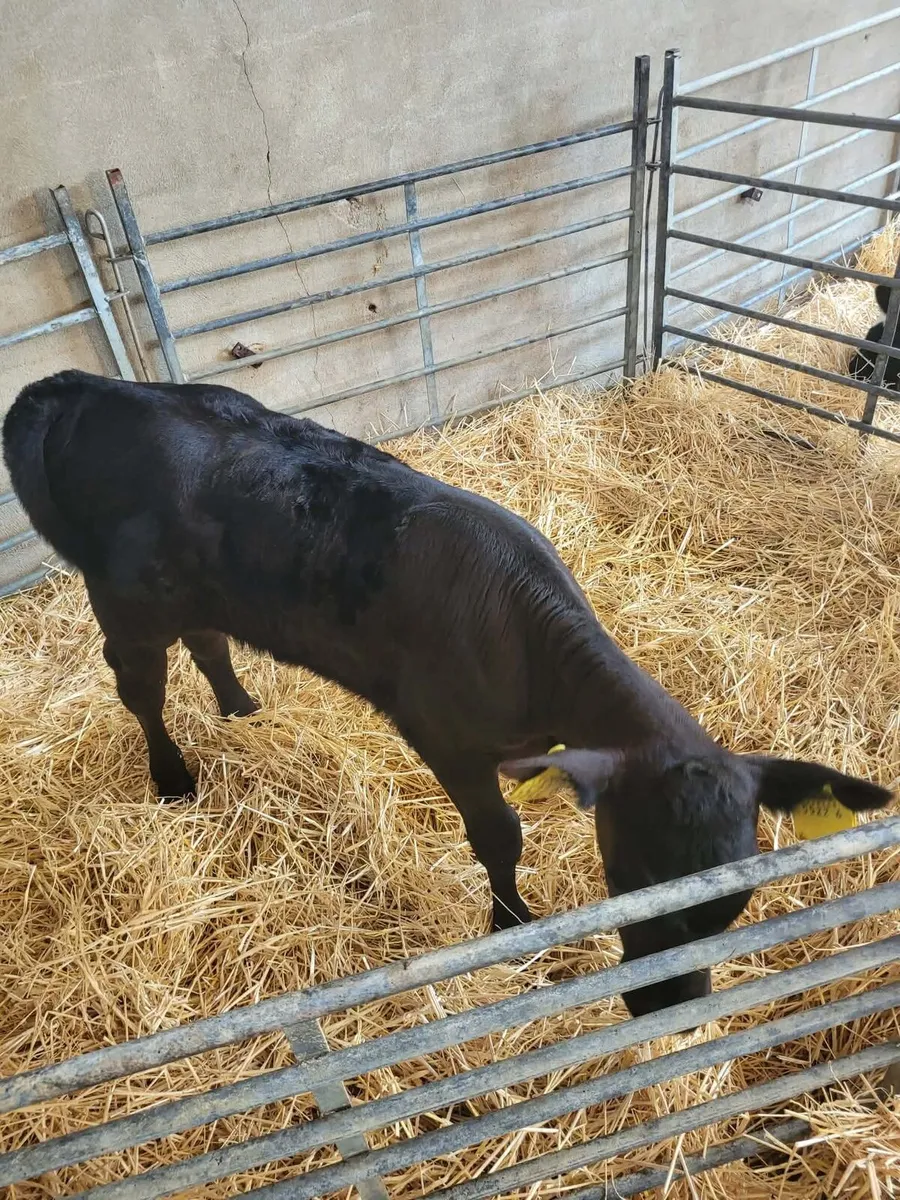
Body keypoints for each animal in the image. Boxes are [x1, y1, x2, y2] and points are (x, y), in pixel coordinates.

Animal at [3, 371, 891, 1017]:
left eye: (732, 908)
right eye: (631, 878)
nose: (667, 1009)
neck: (527, 643)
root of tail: (78, 386)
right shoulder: (448, 740)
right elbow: (499, 839)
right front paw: (512, 924)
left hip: (200, 592)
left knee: (209, 640)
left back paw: (241, 711)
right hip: (125, 602)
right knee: (140, 688)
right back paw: (172, 777)